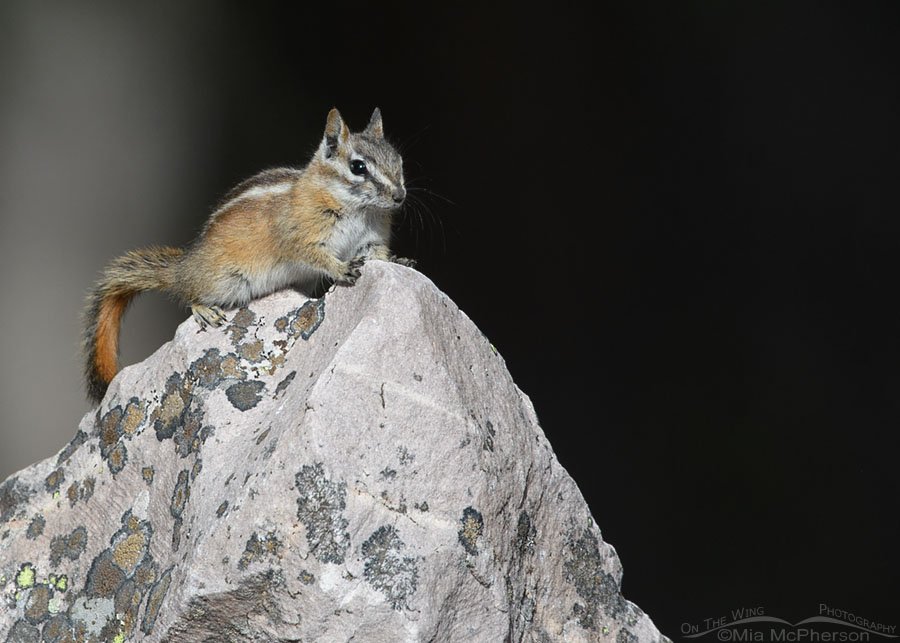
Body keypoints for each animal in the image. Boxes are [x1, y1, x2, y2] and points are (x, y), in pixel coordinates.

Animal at [82, 107, 410, 403]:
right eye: (358, 167)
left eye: (399, 161)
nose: (400, 196)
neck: (360, 210)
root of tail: (185, 265)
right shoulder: (301, 236)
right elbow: (314, 256)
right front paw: (341, 268)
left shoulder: (371, 240)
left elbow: (377, 254)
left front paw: (397, 260)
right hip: (223, 282)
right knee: (188, 292)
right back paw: (203, 309)